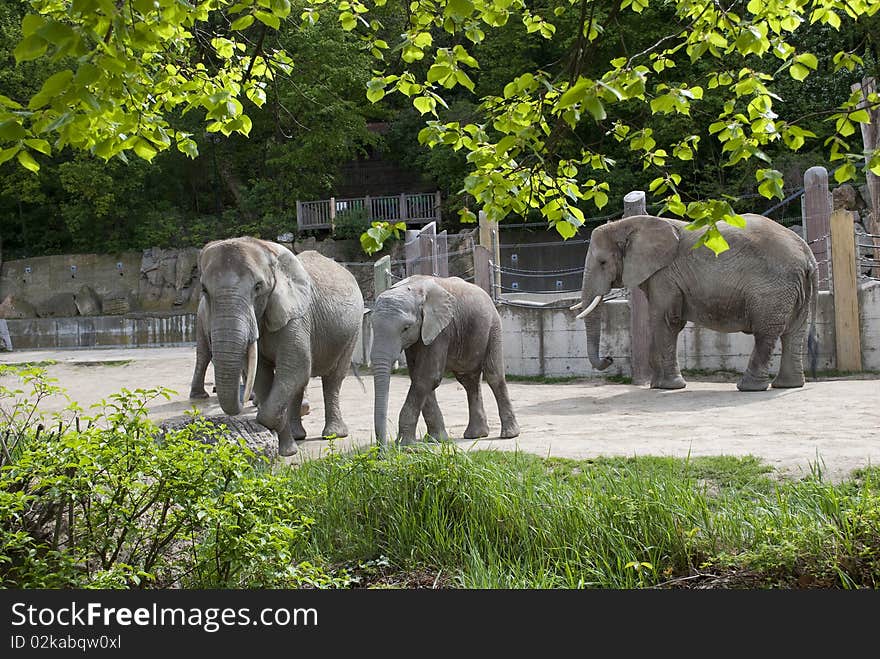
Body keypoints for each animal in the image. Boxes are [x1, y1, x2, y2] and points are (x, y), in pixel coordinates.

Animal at [198, 238, 362, 458]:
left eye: (258, 287)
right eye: (204, 290)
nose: (245, 400)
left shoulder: (297, 317)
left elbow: (294, 369)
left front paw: (281, 444)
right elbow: (263, 375)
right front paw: (288, 451)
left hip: (353, 331)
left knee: (332, 379)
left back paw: (333, 434)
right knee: (301, 384)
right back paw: (299, 435)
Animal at [368, 274, 520, 448]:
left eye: (406, 328)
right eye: (372, 326)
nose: (382, 450)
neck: (413, 288)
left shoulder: (441, 330)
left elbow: (427, 376)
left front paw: (405, 445)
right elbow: (419, 377)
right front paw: (437, 440)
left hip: (493, 327)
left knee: (494, 375)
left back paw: (509, 435)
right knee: (468, 380)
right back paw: (476, 435)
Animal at [576, 215, 820, 392]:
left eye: (603, 262)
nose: (609, 358)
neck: (629, 224)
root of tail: (808, 254)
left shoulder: (664, 275)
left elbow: (665, 321)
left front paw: (668, 387)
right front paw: (658, 386)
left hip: (772, 289)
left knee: (766, 332)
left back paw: (749, 388)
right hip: (795, 287)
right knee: (794, 331)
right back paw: (789, 385)